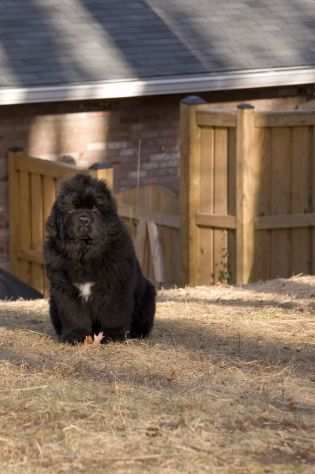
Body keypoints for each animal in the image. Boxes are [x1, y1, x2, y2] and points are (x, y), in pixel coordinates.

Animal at [43, 174, 157, 344]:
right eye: (72, 209)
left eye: (95, 209)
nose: (84, 219)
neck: (85, 253)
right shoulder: (65, 289)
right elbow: (73, 314)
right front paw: (75, 336)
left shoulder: (116, 285)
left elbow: (114, 314)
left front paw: (113, 336)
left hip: (147, 297)